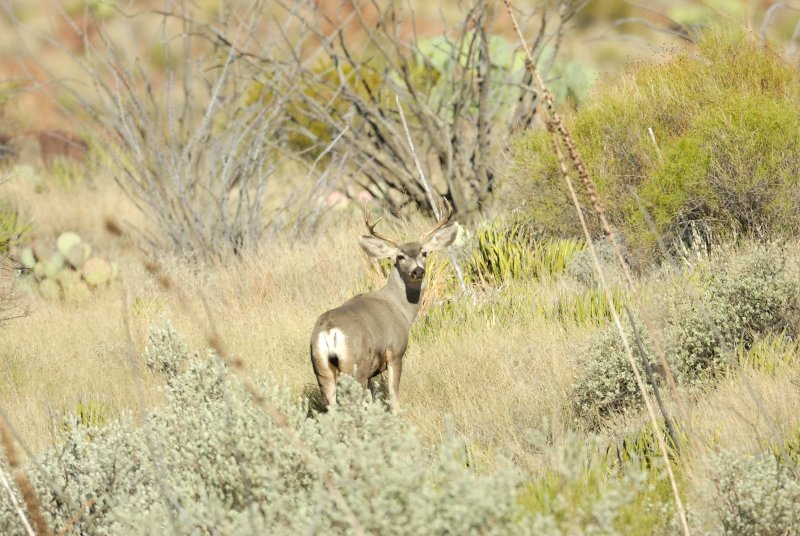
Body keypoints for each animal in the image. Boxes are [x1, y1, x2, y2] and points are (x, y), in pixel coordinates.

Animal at [310, 203, 460, 412]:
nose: (418, 271)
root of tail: (329, 330)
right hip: (355, 365)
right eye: (400, 256)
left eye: (424, 253)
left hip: (321, 367)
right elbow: (393, 396)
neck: (399, 308)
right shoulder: (395, 352)